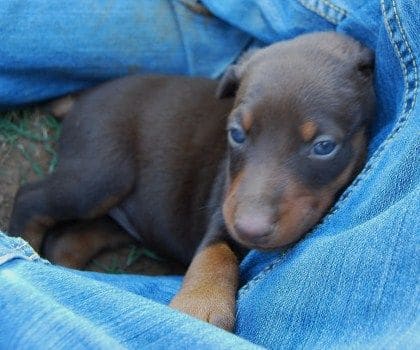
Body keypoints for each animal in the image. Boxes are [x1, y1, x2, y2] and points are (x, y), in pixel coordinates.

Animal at [7, 31, 374, 330]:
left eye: (324, 147)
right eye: (236, 134)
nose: (250, 229)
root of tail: (83, 98)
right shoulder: (225, 206)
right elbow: (215, 252)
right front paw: (200, 303)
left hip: (120, 217)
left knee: (67, 241)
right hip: (100, 175)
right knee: (30, 198)